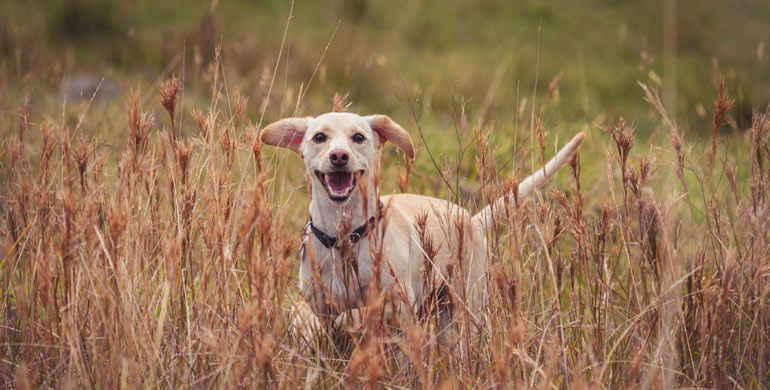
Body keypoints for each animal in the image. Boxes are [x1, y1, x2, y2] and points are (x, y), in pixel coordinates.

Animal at [260, 112, 584, 348]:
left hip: (463, 310)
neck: (345, 238)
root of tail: (470, 218)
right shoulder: (319, 303)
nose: (339, 156)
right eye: (319, 137)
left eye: (358, 137)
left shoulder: (398, 307)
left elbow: (365, 318)